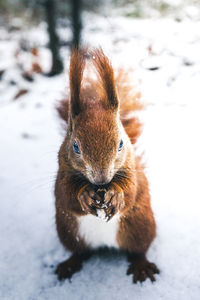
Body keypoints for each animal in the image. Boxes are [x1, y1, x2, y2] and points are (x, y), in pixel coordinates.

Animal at [54, 47, 159, 284]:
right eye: (75, 146)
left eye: (121, 143)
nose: (102, 180)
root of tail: (105, 244)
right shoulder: (62, 173)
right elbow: (66, 193)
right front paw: (84, 194)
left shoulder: (132, 170)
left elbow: (131, 190)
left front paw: (117, 194)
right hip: (68, 232)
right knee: (79, 251)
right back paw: (69, 265)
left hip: (140, 226)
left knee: (138, 250)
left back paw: (141, 267)